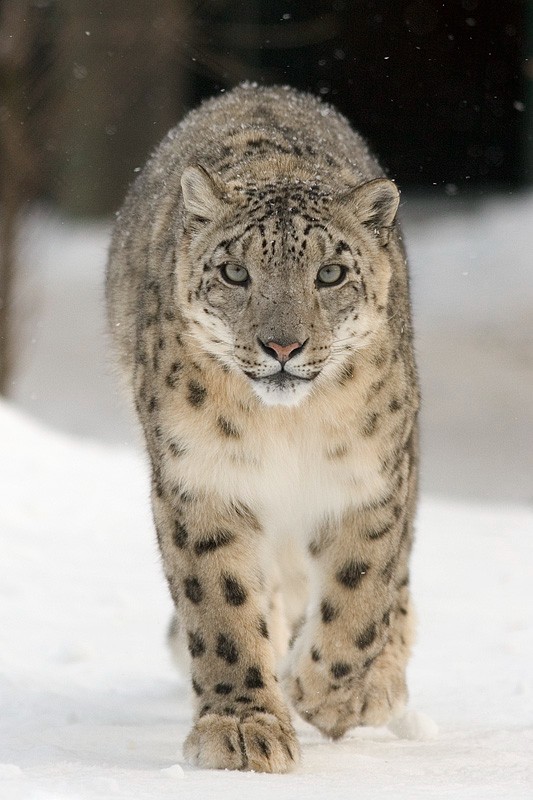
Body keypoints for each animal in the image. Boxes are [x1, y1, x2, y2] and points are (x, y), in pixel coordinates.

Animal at [106, 83, 419, 773]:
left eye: (330, 274)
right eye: (234, 272)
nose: (282, 345)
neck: (286, 431)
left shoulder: (370, 480)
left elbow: (361, 597)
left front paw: (325, 695)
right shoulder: (200, 480)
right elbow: (222, 606)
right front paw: (244, 729)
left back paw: (379, 683)